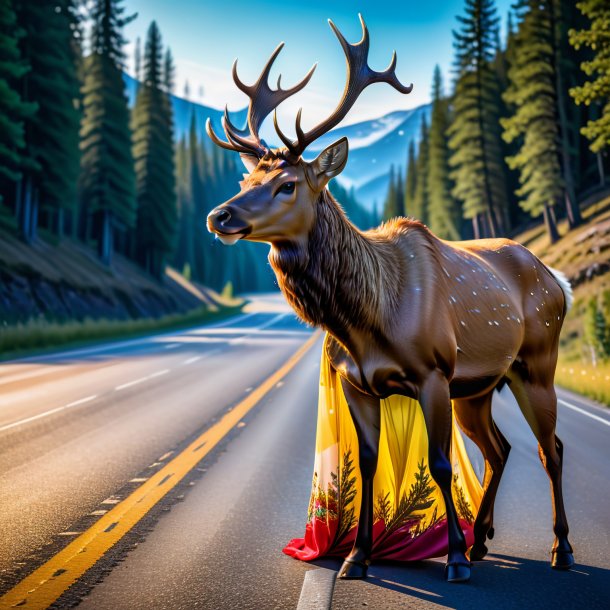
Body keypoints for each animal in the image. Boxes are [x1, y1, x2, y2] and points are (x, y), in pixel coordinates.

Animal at [207, 16, 572, 580]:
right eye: (248, 177)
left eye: (287, 184)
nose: (219, 216)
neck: (365, 320)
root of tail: (558, 280)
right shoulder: (357, 383)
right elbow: (369, 463)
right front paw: (356, 556)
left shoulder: (434, 374)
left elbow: (441, 464)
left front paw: (452, 560)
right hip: (481, 385)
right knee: (500, 448)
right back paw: (482, 540)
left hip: (536, 364)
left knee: (549, 448)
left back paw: (558, 548)